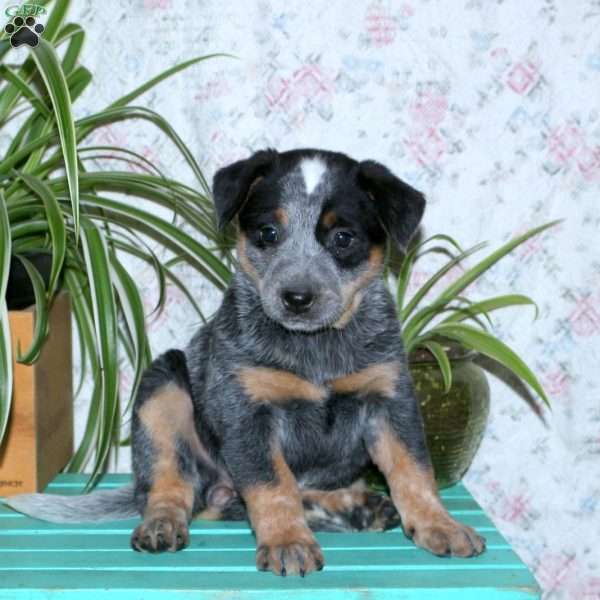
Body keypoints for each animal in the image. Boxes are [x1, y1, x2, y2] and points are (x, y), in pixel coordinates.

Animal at [5, 149, 482, 576]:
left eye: (343, 238)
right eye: (268, 233)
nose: (297, 297)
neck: (316, 352)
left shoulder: (389, 398)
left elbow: (413, 470)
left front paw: (441, 524)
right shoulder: (247, 411)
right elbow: (273, 484)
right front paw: (288, 542)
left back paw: (356, 507)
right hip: (163, 385)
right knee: (173, 485)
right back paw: (163, 523)